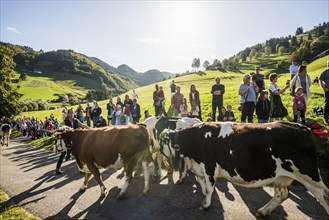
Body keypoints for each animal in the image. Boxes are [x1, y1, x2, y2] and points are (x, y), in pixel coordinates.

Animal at [159, 122, 328, 217]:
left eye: (161, 145)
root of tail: (302, 127)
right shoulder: (199, 168)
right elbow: (203, 186)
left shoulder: (209, 167)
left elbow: (209, 187)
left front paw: (205, 205)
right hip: (281, 176)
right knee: (282, 194)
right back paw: (263, 211)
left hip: (308, 175)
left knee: (324, 195)